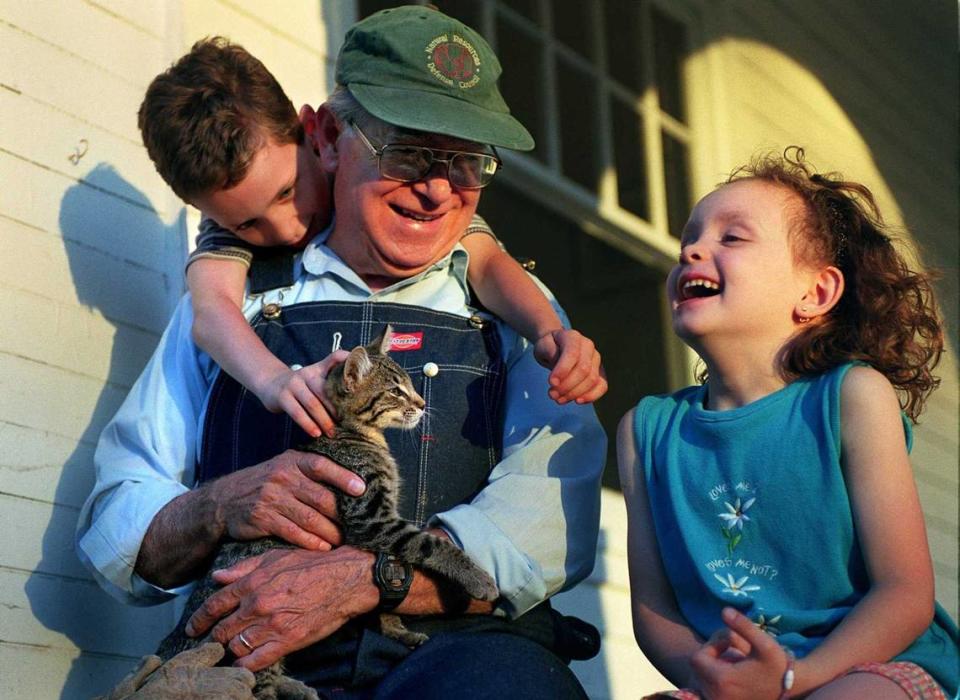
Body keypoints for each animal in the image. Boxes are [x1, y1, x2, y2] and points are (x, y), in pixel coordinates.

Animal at [156, 328, 502, 700]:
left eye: (410, 384)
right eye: (396, 391)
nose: (423, 405)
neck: (359, 435)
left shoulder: (380, 524)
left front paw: (396, 629)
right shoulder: (371, 518)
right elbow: (431, 544)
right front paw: (478, 577)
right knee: (251, 681)